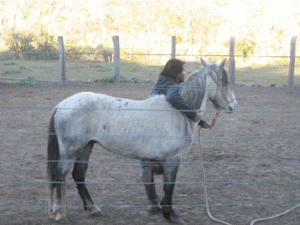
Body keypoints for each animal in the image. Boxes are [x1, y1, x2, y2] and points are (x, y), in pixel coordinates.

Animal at [47, 58, 238, 223]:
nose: (233, 106)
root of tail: (61, 105)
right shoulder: (173, 160)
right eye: (224, 81)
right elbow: (169, 187)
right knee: (59, 174)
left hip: (86, 147)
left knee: (78, 175)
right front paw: (171, 215)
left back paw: (92, 208)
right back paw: (59, 212)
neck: (179, 112)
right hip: (71, 150)